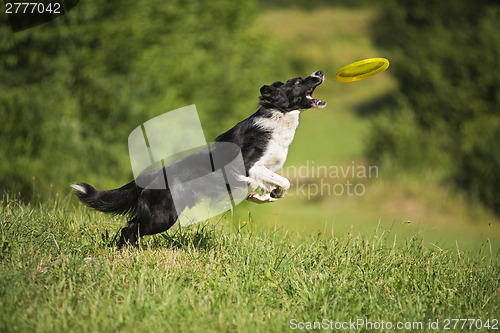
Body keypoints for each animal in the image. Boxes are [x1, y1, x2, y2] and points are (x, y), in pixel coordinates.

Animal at [72, 70, 326, 246]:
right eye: (297, 82)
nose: (320, 72)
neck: (278, 116)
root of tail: (152, 174)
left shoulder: (268, 168)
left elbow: (278, 185)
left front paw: (263, 196)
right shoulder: (249, 165)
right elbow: (285, 181)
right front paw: (264, 194)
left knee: (131, 228)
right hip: (163, 216)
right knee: (130, 229)